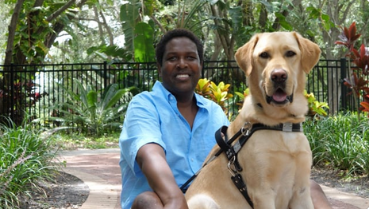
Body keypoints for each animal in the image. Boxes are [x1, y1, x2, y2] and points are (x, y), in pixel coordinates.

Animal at [185, 31, 320, 208]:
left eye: (290, 53)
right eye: (264, 55)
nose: (278, 75)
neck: (282, 124)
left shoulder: (302, 192)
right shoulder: (263, 193)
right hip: (203, 201)